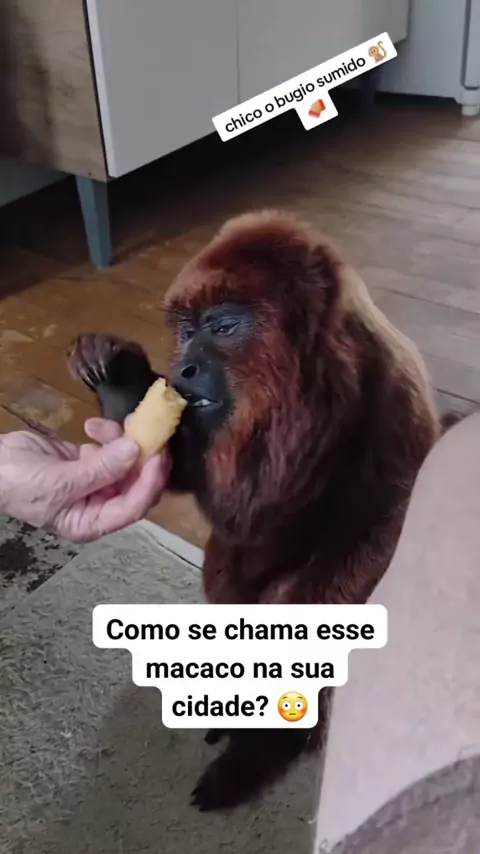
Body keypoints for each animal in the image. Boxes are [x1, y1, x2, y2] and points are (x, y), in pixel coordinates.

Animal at [67, 210, 442, 811]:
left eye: (223, 327)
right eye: (185, 331)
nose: (183, 368)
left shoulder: (388, 379)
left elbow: (388, 517)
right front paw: (120, 377)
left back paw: (259, 747)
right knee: (225, 571)